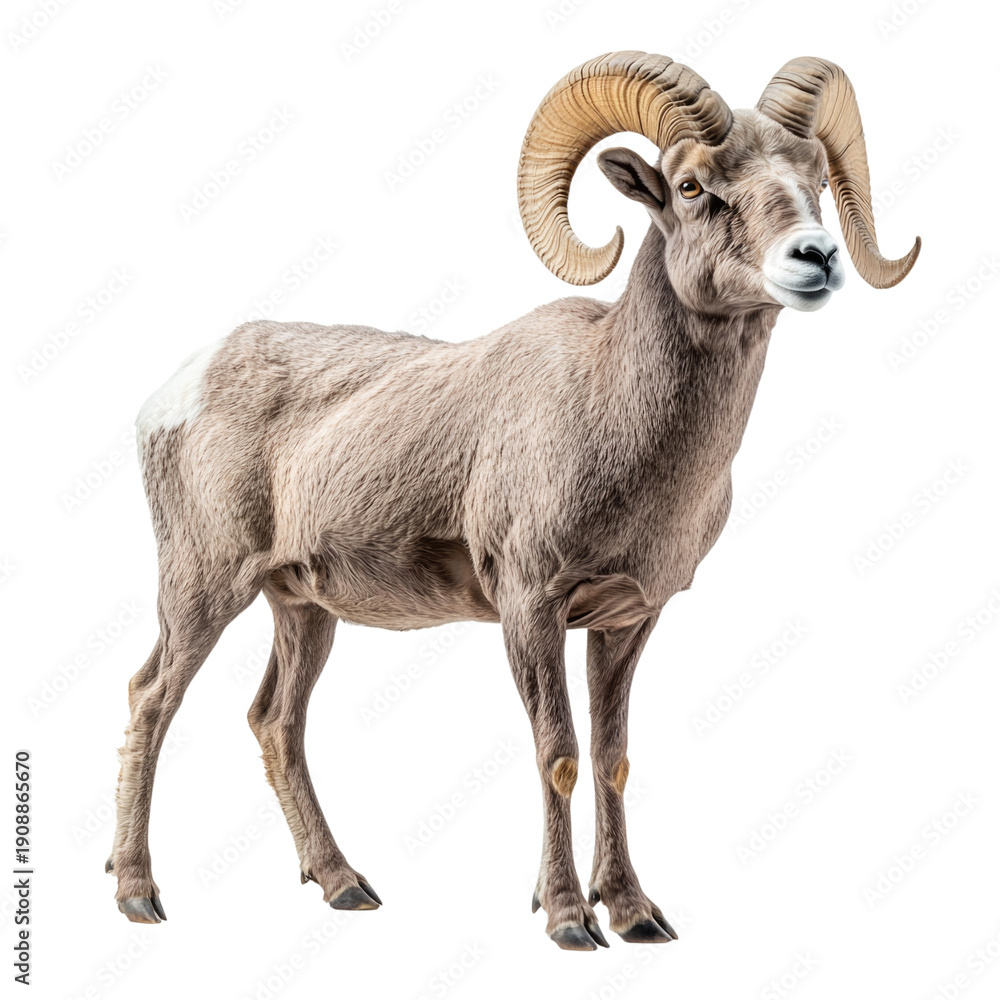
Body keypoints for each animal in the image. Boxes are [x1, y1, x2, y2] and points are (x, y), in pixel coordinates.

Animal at [108, 51, 920, 950]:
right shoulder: (530, 607)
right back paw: (138, 895)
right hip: (204, 587)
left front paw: (635, 914)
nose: (815, 257)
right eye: (691, 186)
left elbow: (611, 757)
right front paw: (568, 920)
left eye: (814, 177)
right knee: (153, 697)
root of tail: (176, 389)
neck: (609, 411)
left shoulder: (626, 621)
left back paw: (345, 886)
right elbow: (557, 754)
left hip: (302, 609)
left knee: (275, 722)